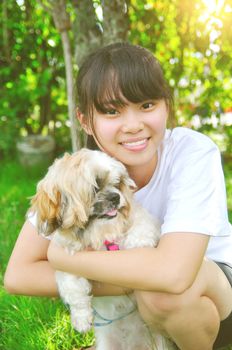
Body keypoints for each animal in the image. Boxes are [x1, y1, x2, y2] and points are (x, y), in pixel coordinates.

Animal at [29, 148, 176, 350]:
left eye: (116, 184)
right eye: (95, 188)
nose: (116, 196)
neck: (100, 234)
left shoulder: (143, 219)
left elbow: (142, 226)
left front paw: (138, 243)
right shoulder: (65, 259)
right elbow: (71, 286)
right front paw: (81, 318)